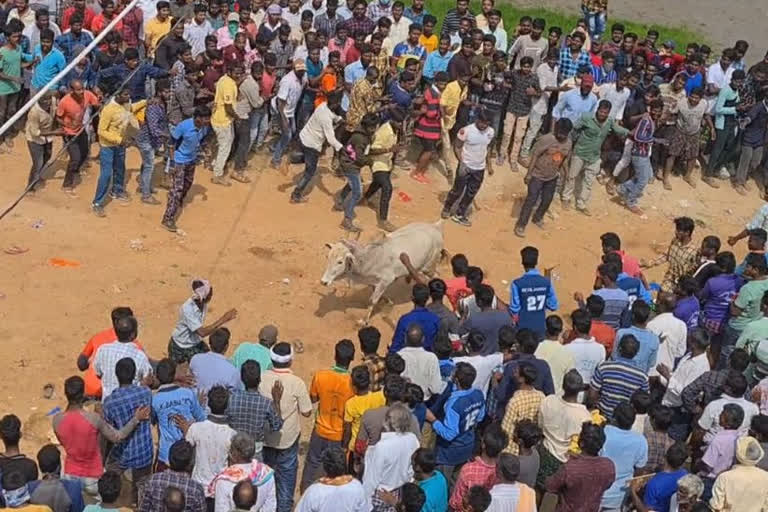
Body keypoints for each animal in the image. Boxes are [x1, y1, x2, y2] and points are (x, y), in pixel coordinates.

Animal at [320, 221, 448, 324]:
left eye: (340, 262)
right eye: (328, 257)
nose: (323, 282)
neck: (370, 257)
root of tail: (435, 227)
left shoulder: (386, 280)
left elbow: (372, 300)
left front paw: (364, 321)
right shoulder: (374, 282)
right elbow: (375, 293)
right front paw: (387, 300)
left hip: (429, 267)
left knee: (436, 276)